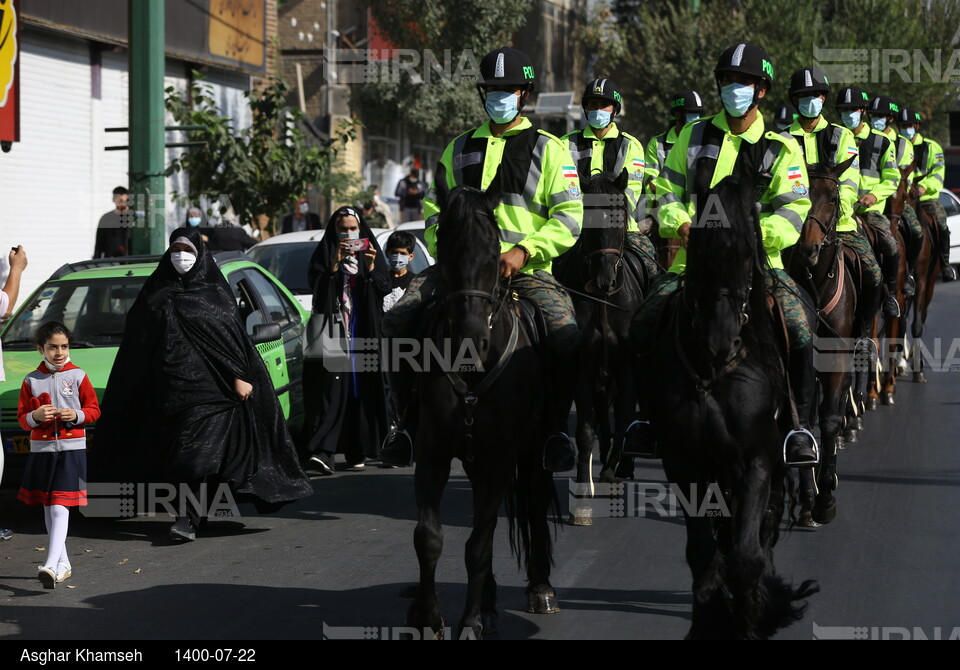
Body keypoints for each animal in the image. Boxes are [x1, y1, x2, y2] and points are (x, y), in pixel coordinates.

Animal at [406, 182, 564, 640]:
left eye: (495, 254)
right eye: (445, 248)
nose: (469, 341)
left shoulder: (500, 458)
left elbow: (477, 543)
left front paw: (470, 622)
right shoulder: (434, 454)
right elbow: (429, 537)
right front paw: (427, 617)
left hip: (532, 453)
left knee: (532, 502)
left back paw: (540, 589)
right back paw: (491, 603)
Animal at [636, 172, 816, 640]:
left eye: (747, 254)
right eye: (700, 251)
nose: (722, 341)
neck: (711, 370)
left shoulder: (756, 460)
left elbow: (746, 557)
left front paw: (754, 619)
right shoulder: (685, 463)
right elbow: (703, 555)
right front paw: (709, 620)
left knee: (762, 534)